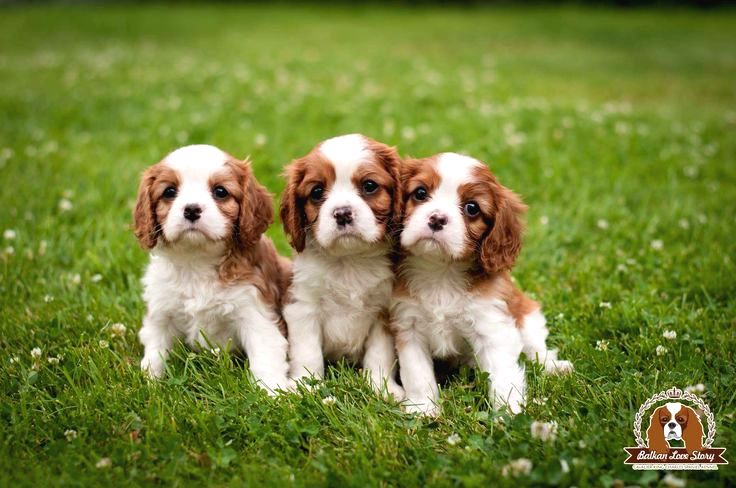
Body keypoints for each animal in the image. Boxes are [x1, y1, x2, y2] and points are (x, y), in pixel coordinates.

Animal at [133, 144, 292, 394]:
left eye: (220, 191)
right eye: (169, 192)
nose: (191, 209)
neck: (196, 261)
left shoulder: (255, 312)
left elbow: (265, 358)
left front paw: (274, 393)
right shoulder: (161, 311)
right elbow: (155, 351)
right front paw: (151, 384)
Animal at [279, 134, 404, 399]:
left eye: (369, 186)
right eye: (317, 192)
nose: (343, 213)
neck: (349, 261)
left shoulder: (383, 312)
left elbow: (380, 354)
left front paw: (380, 387)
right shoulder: (302, 307)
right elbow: (307, 352)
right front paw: (307, 385)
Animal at [391, 153, 572, 415]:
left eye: (472, 208)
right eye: (420, 193)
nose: (437, 218)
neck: (440, 271)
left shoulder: (492, 327)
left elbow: (503, 375)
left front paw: (508, 413)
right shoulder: (409, 326)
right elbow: (417, 373)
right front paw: (423, 408)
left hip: (527, 316)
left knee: (537, 350)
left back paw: (554, 367)